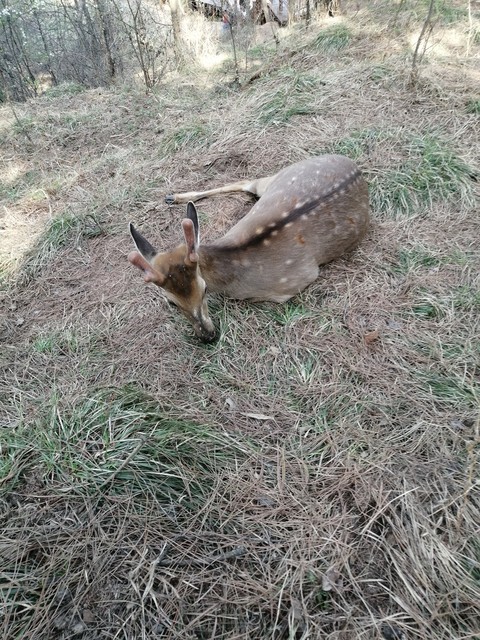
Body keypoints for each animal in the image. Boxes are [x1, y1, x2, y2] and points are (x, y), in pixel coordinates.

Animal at [128, 154, 370, 342]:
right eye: (171, 302)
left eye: (204, 290)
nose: (208, 336)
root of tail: (358, 170)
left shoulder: (297, 281)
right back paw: (173, 196)